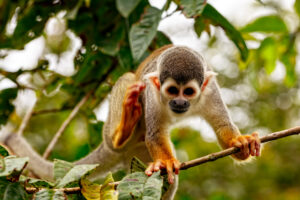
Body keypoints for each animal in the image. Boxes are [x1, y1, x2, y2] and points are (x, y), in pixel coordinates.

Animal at [1, 44, 260, 199]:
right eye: (172, 90)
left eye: (188, 92)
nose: (179, 103)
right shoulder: (152, 92)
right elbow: (155, 135)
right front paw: (166, 163)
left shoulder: (211, 89)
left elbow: (223, 127)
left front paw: (241, 143)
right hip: (121, 130)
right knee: (127, 81)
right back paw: (124, 125)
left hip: (137, 152)